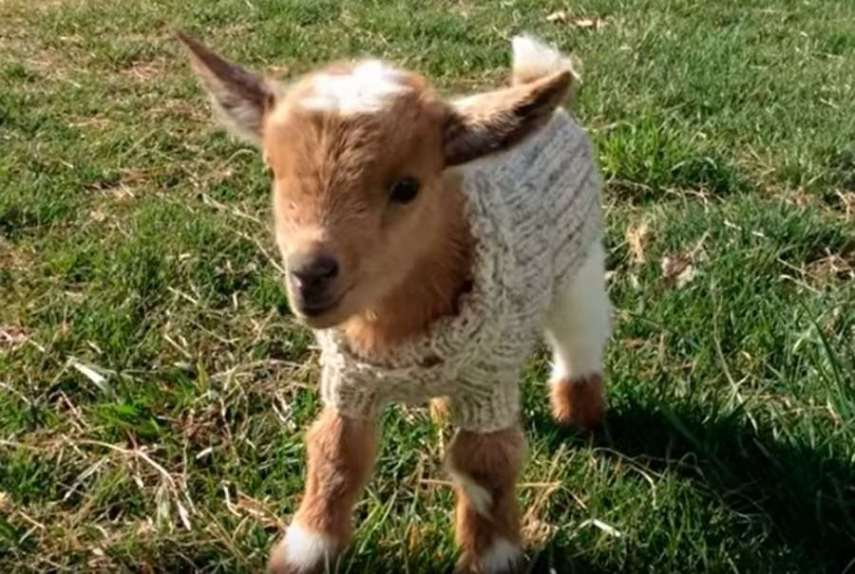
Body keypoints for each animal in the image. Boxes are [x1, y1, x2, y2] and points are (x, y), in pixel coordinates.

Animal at [179, 32, 608, 574]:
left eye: (407, 187)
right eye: (271, 171)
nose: (309, 275)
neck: (394, 327)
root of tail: (532, 83)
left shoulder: (488, 382)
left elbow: (485, 466)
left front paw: (492, 555)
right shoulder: (349, 380)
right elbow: (336, 454)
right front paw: (306, 549)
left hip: (581, 262)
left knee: (580, 337)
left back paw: (580, 412)